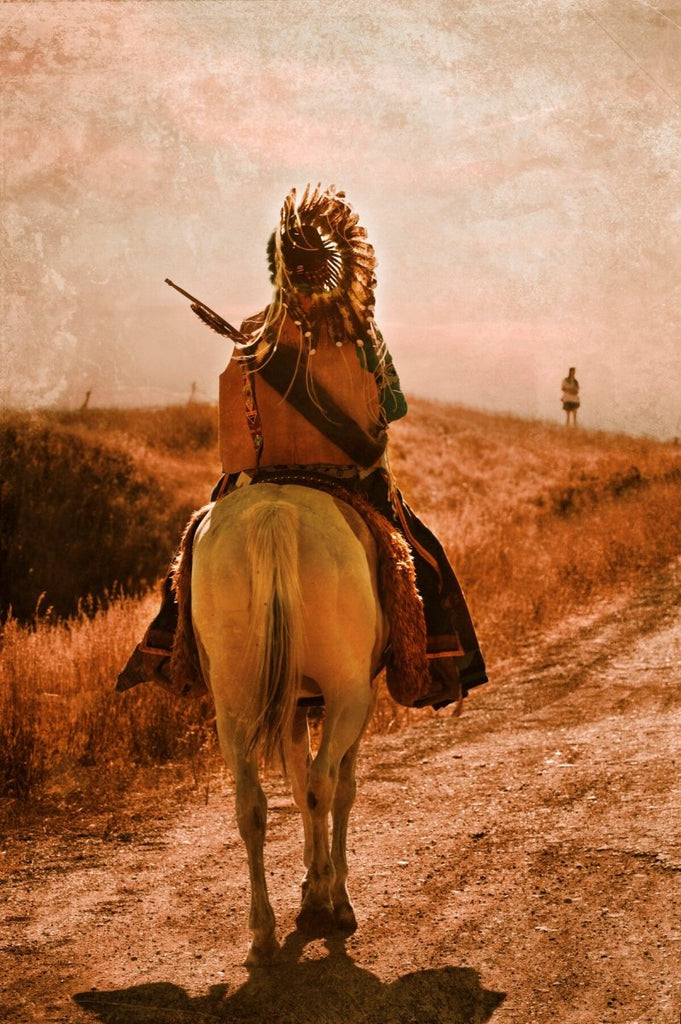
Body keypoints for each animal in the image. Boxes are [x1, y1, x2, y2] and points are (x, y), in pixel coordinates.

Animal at [189, 483, 387, 962]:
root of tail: (275, 512)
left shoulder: (293, 705)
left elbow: (296, 787)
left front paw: (308, 882)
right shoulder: (360, 698)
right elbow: (340, 789)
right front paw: (323, 886)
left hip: (233, 701)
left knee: (251, 805)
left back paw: (262, 932)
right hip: (347, 693)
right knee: (324, 783)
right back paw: (332, 902)